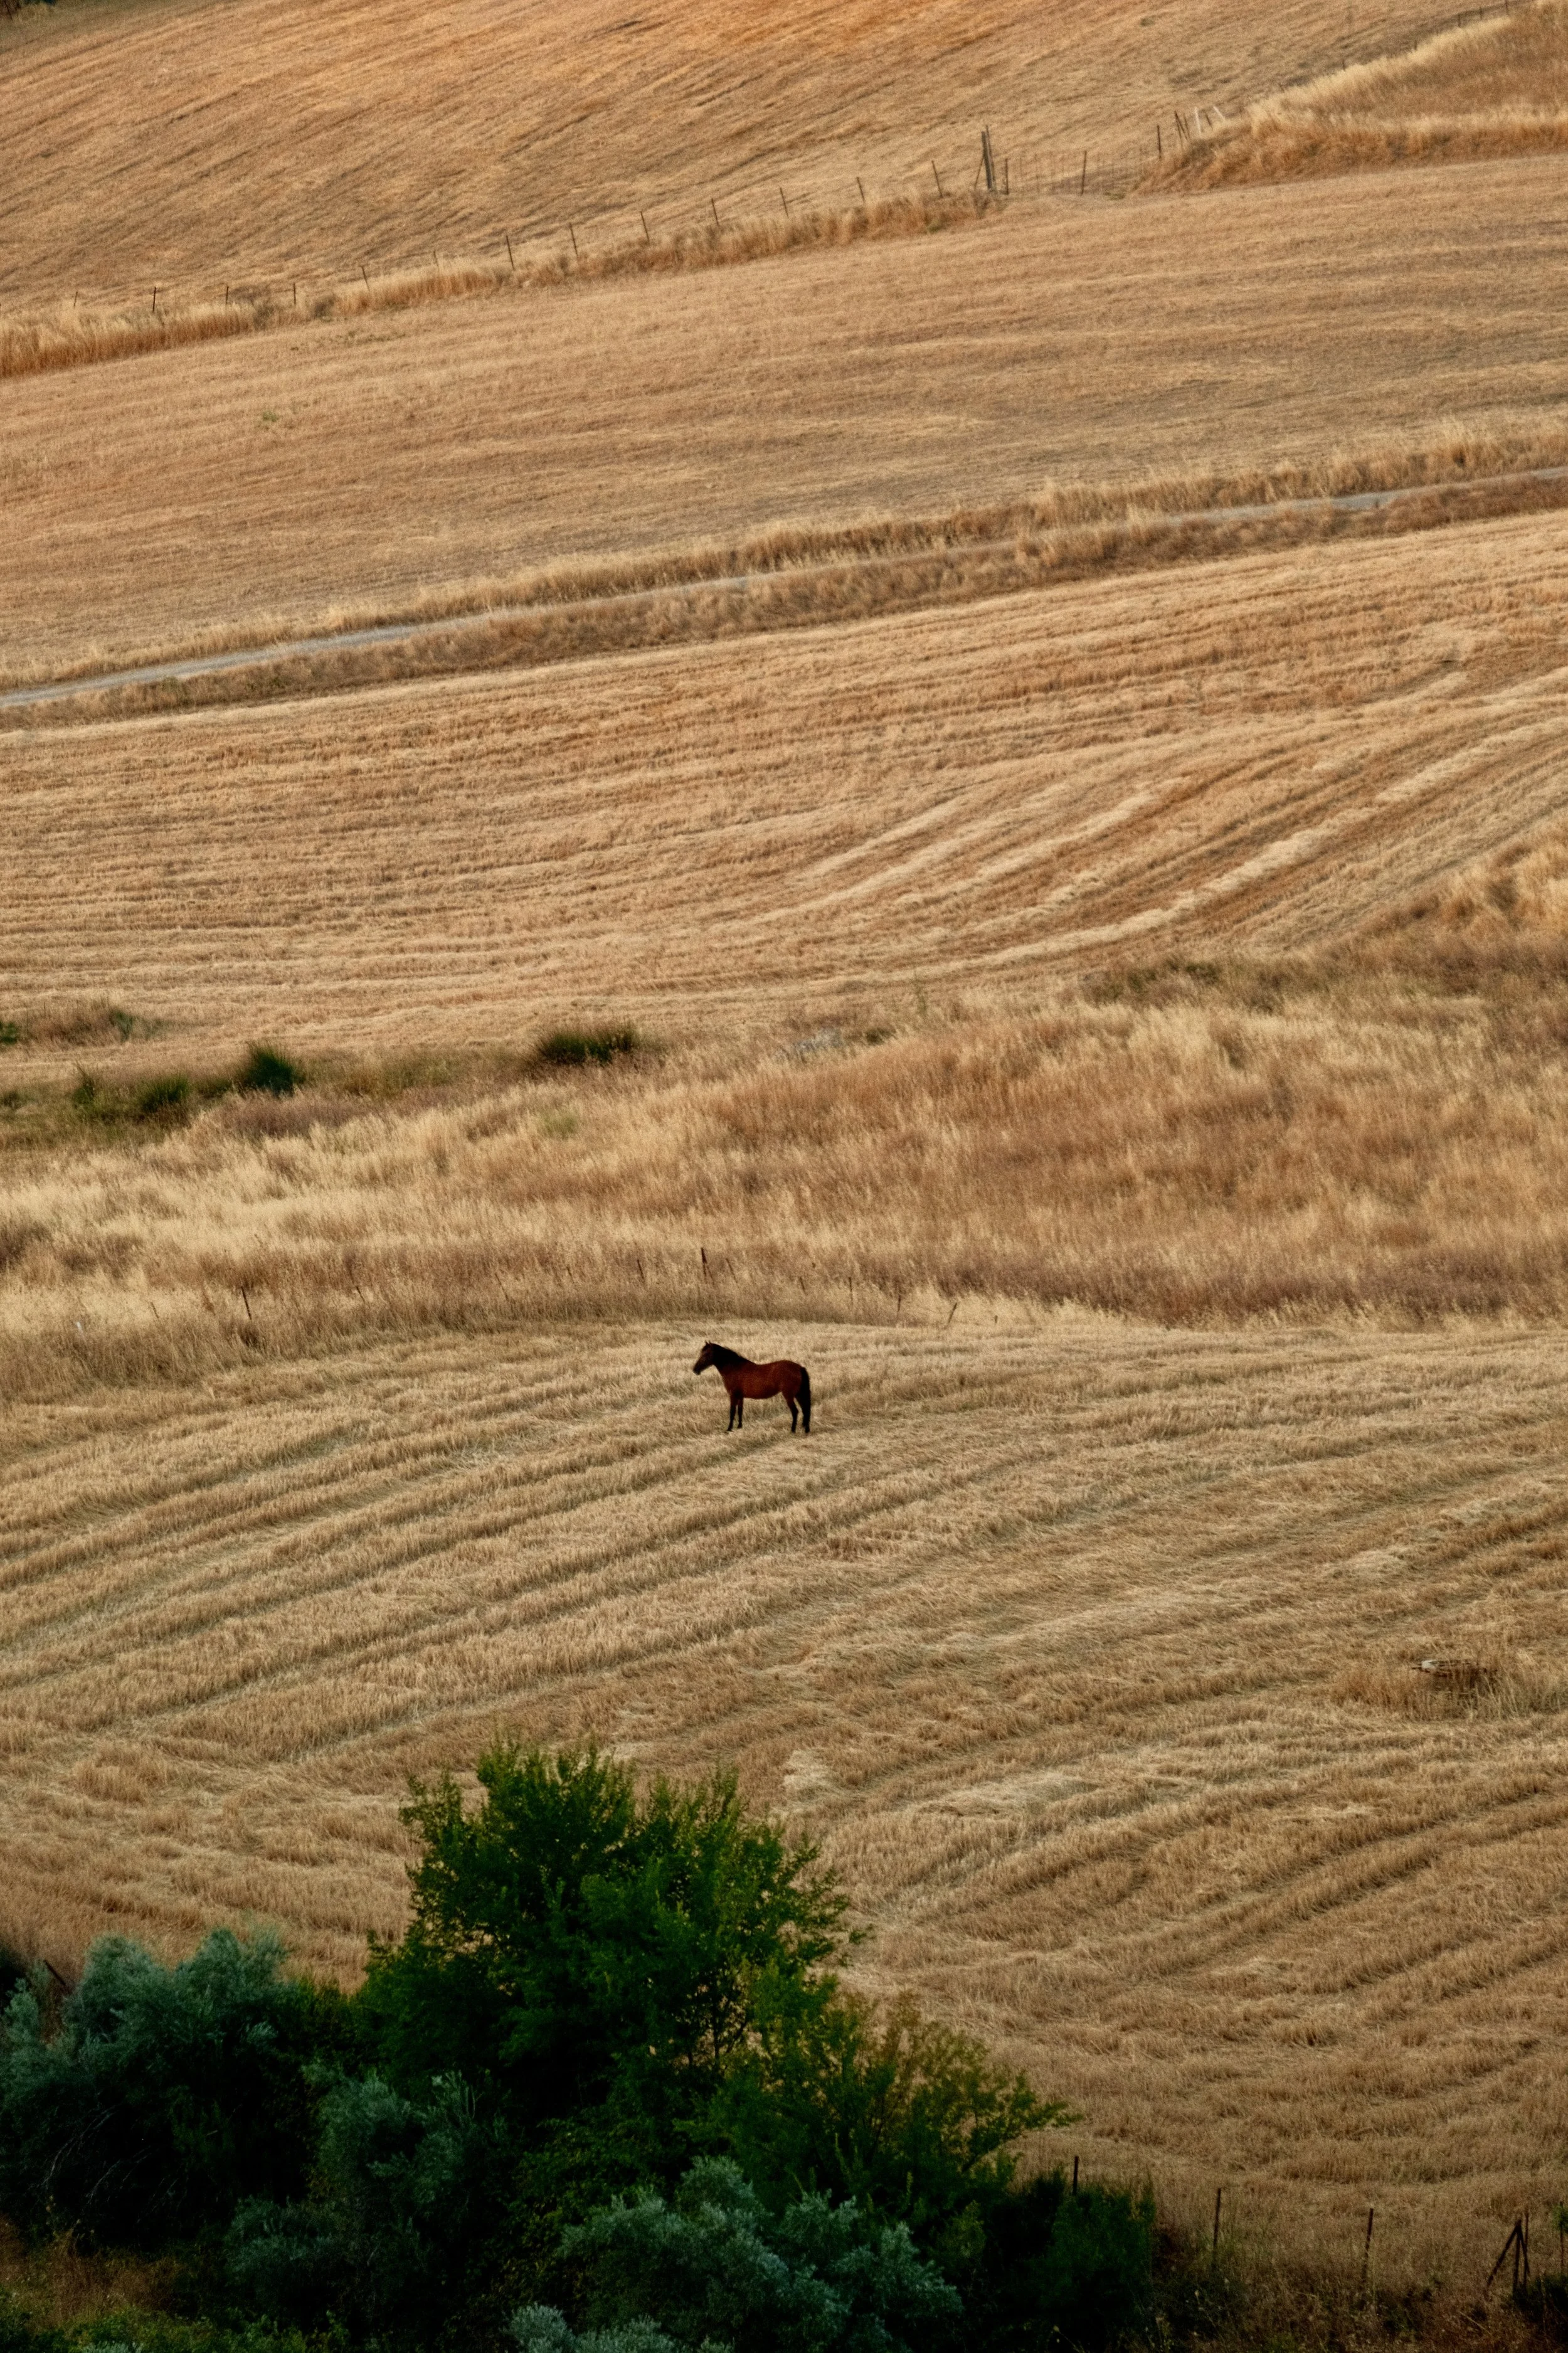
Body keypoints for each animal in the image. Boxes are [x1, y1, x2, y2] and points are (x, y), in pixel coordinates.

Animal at [693, 1341, 812, 1434]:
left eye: (706, 1354)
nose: (695, 1370)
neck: (734, 1368)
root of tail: (799, 1367)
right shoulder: (740, 1396)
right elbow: (740, 1411)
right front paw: (739, 1427)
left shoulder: (733, 1395)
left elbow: (732, 1412)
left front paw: (729, 1429)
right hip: (799, 1394)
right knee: (805, 1409)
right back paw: (806, 1430)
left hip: (789, 1396)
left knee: (795, 1411)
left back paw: (792, 1430)